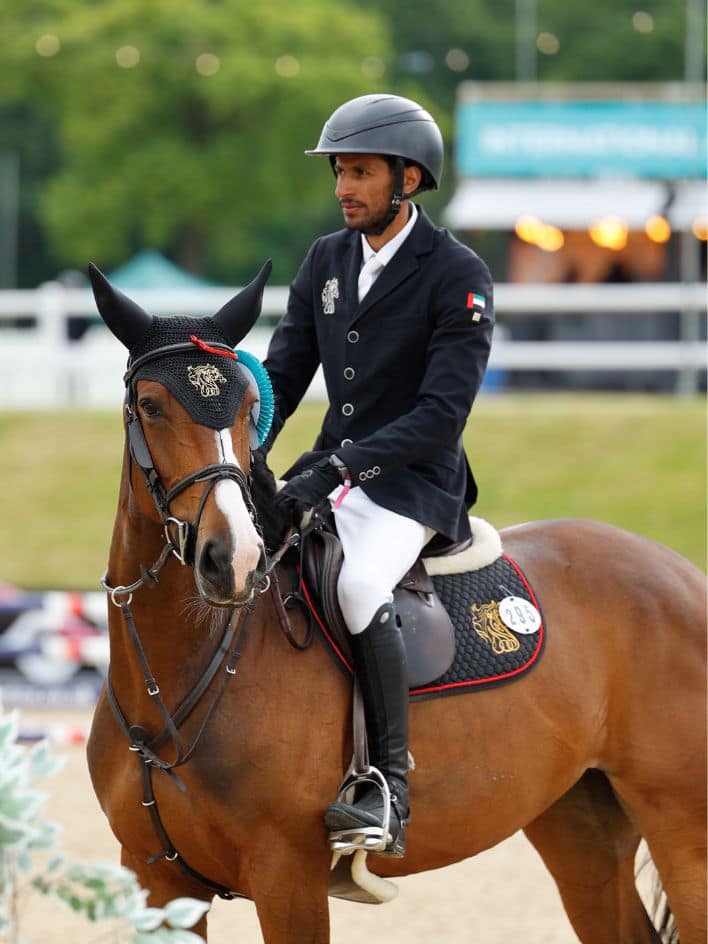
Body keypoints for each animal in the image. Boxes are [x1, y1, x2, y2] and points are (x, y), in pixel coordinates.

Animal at [85, 264, 707, 944]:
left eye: (251, 408)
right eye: (149, 406)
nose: (235, 560)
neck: (180, 672)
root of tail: (680, 571)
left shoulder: (288, 878)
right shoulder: (158, 882)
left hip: (684, 827)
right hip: (580, 822)